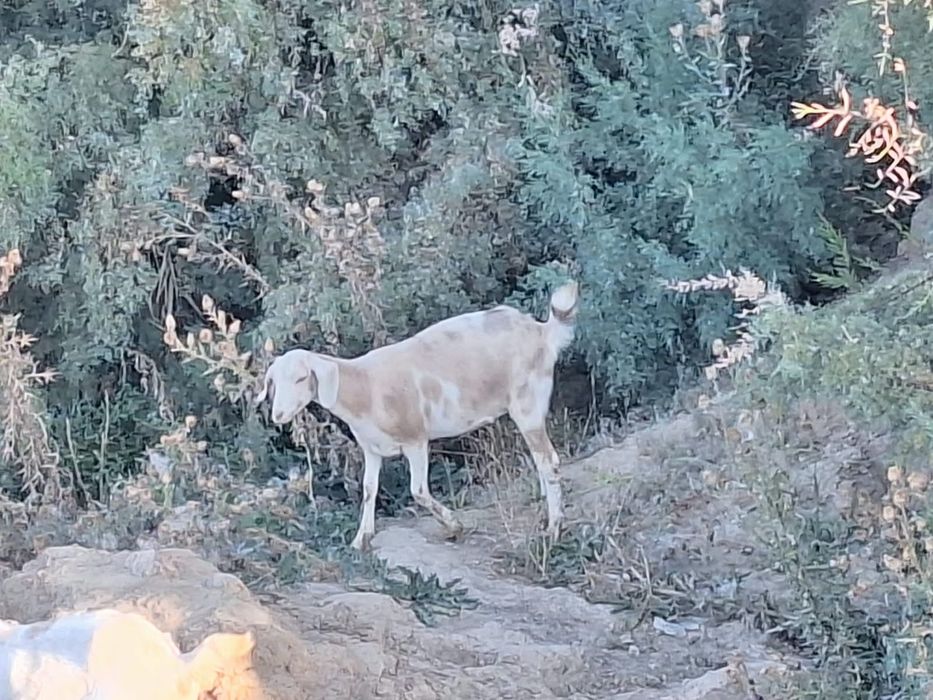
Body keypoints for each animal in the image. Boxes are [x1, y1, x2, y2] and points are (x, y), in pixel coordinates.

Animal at [256, 281, 580, 551]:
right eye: (273, 382)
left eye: (301, 378)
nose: (279, 414)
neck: (365, 387)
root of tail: (541, 332)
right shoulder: (372, 448)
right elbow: (369, 490)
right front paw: (360, 539)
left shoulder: (416, 439)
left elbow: (418, 490)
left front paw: (454, 525)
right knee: (541, 460)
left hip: (528, 404)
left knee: (549, 460)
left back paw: (553, 529)